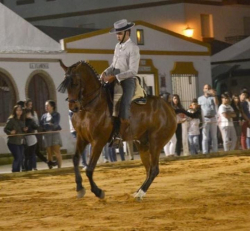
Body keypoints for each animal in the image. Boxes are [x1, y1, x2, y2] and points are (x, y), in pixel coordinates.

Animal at [57, 60, 177, 200]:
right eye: (65, 85)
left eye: (75, 83)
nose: (73, 107)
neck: (91, 106)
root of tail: (169, 108)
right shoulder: (82, 138)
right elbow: (75, 160)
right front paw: (80, 188)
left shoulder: (98, 141)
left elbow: (90, 169)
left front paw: (98, 191)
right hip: (142, 143)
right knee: (148, 169)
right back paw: (138, 191)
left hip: (156, 143)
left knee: (154, 169)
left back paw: (141, 193)